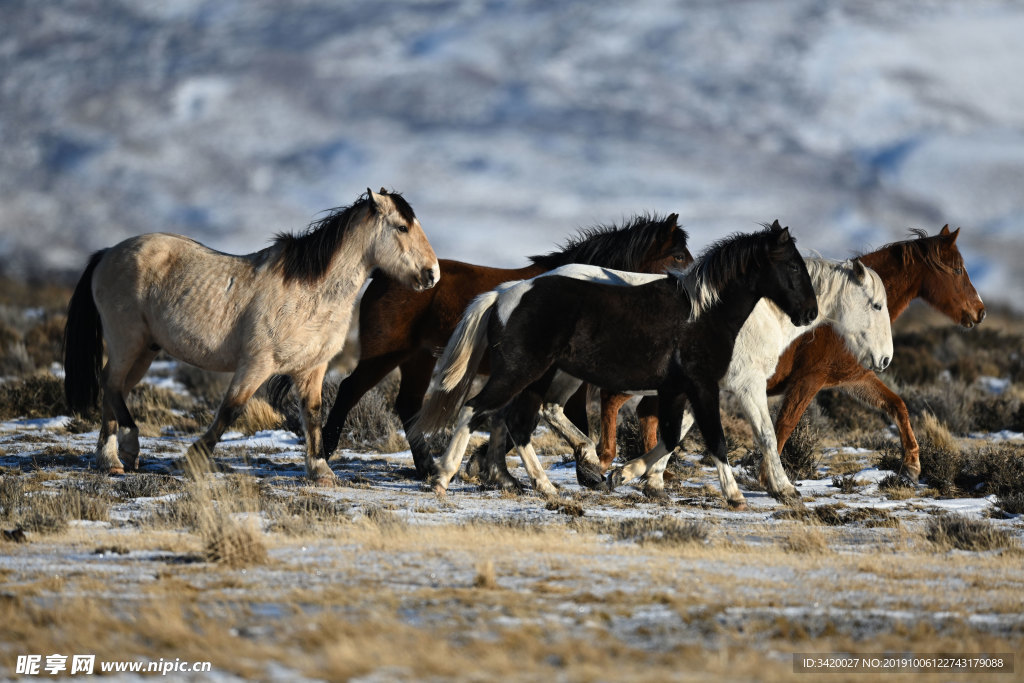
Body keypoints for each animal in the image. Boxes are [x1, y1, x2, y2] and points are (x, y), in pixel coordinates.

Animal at [62, 189, 440, 483]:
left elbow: (313, 415)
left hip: (144, 350)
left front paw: (320, 471)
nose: (432, 274)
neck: (311, 293)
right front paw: (189, 461)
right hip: (128, 341)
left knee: (115, 389)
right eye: (402, 226)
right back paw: (125, 449)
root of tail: (107, 254)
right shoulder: (257, 364)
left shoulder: (312, 369)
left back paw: (111, 460)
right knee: (111, 384)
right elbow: (230, 411)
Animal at [315, 211, 692, 475]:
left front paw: (482, 465)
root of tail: (383, 276)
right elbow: (564, 420)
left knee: (407, 405)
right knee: (349, 391)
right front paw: (587, 470)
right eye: (677, 257)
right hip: (384, 355)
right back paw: (326, 456)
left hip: (418, 359)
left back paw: (426, 468)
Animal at [598, 224, 983, 481]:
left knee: (644, 412)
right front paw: (767, 477)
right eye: (958, 269)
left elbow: (897, 405)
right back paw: (605, 460)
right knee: (616, 398)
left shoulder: (852, 380)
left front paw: (912, 465)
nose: (978, 312)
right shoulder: (809, 380)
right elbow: (783, 426)